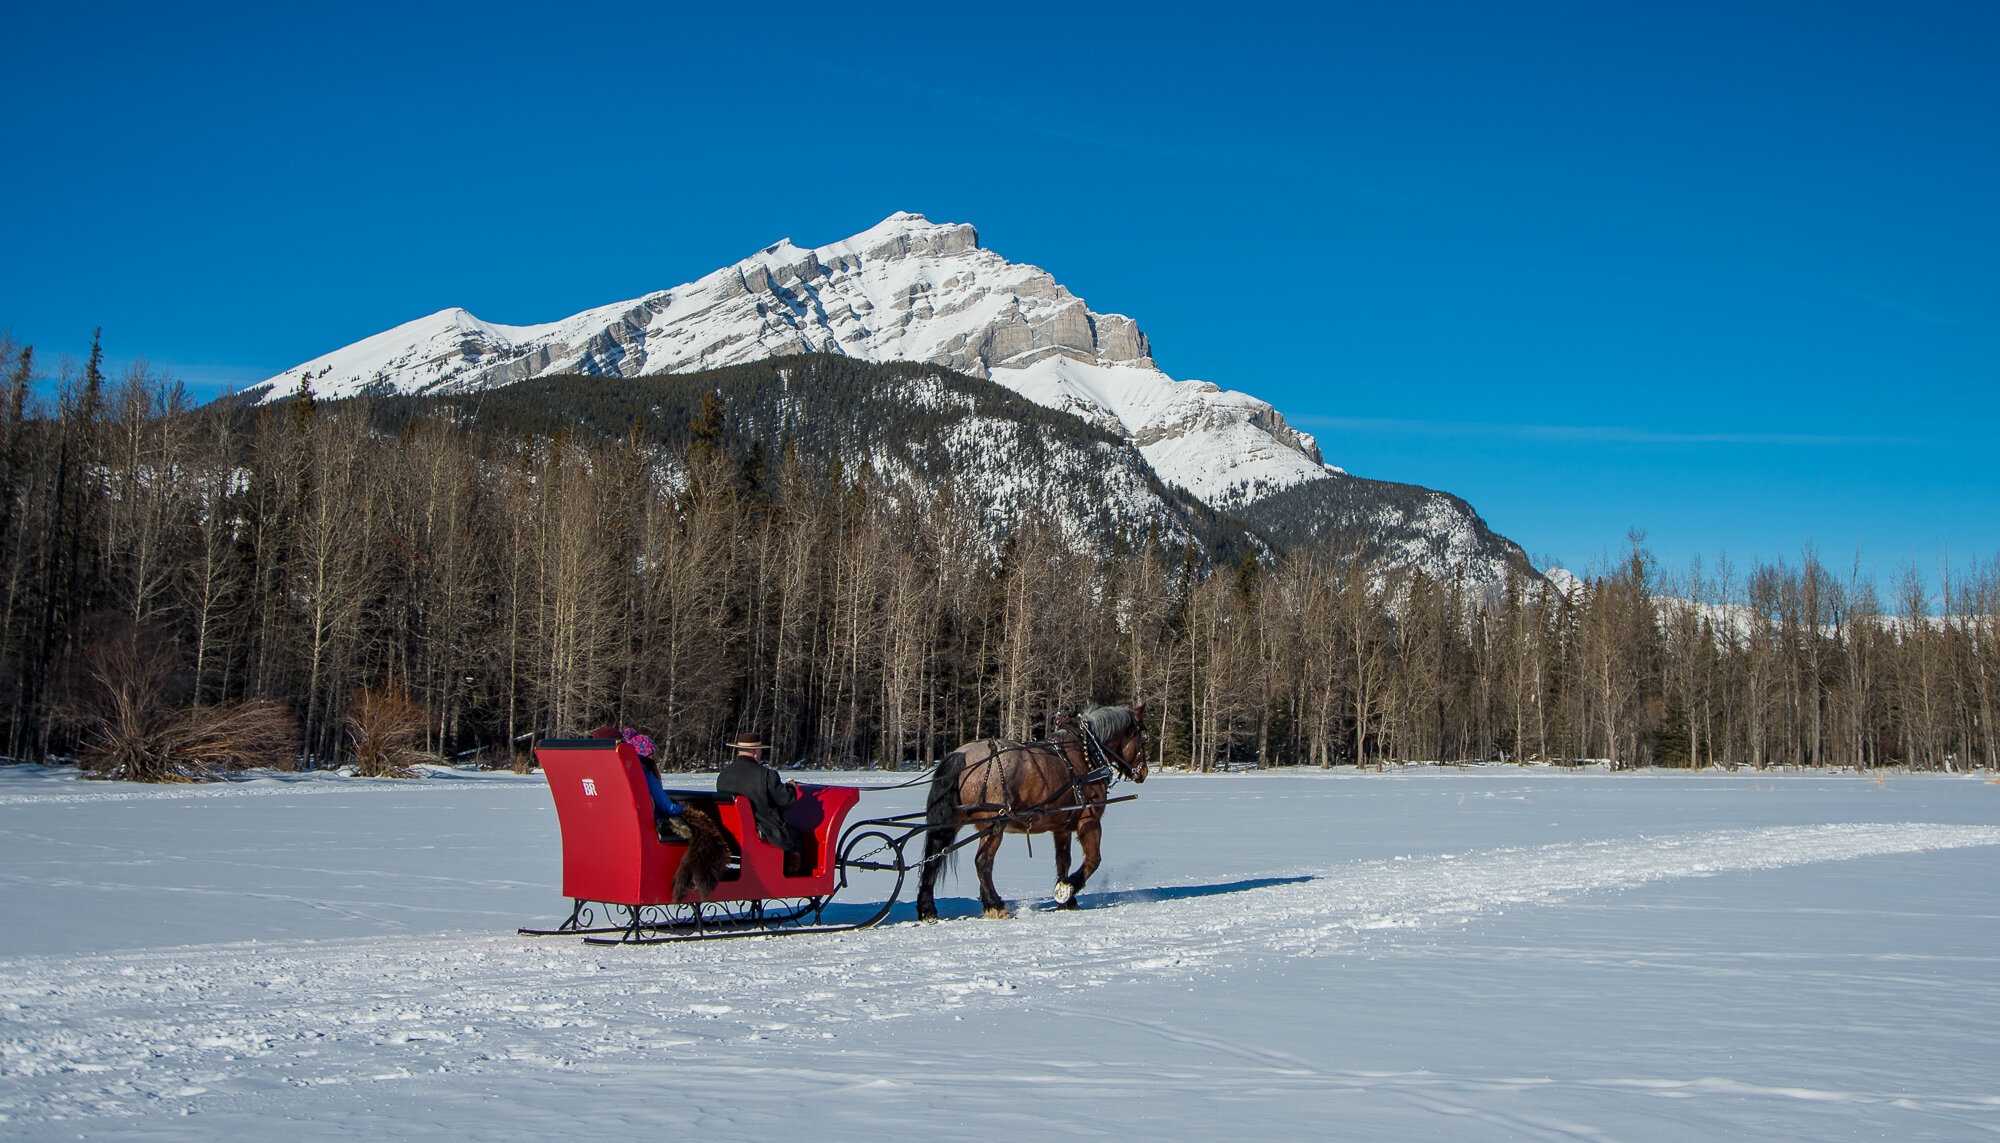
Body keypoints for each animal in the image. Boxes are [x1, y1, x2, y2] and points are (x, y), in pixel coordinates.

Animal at [916, 707, 1152, 919]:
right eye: (1143, 738)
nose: (1143, 772)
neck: (1086, 752)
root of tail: (961, 754)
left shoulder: (1062, 827)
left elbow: (1063, 861)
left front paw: (1067, 899)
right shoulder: (1089, 820)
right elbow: (1094, 859)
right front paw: (1067, 889)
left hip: (952, 822)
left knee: (933, 859)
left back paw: (928, 909)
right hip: (994, 824)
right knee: (982, 862)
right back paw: (995, 904)